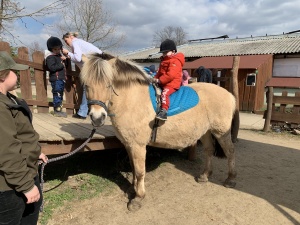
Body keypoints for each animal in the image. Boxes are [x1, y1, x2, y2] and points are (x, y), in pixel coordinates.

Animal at [81, 52, 238, 211]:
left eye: (108, 84)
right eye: (86, 85)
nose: (97, 118)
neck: (133, 100)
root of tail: (229, 95)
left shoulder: (138, 145)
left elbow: (140, 171)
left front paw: (138, 198)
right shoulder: (129, 144)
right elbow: (133, 168)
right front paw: (132, 189)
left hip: (221, 132)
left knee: (230, 151)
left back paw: (230, 179)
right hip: (205, 131)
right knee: (209, 150)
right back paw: (205, 176)